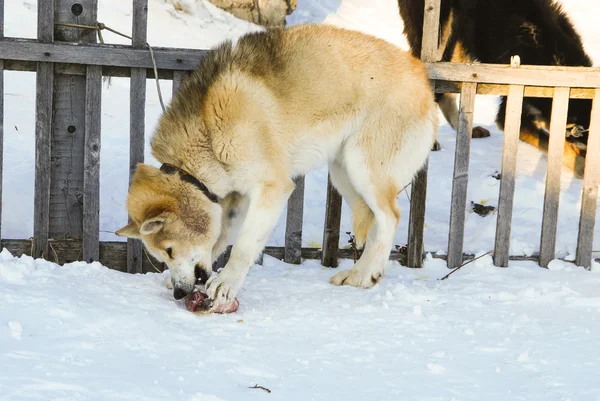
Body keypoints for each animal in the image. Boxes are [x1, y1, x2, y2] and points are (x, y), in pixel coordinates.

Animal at [115, 24, 438, 306]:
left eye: (169, 250)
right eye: (163, 255)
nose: (179, 294)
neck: (208, 131)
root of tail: (422, 77)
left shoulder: (271, 189)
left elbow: (244, 245)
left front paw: (226, 283)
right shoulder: (235, 198)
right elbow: (220, 237)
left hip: (363, 169)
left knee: (390, 217)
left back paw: (366, 275)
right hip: (342, 174)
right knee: (375, 222)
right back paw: (359, 273)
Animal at [398, 0, 592, 177]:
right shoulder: (512, 112)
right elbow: (556, 143)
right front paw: (582, 170)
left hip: (462, 41)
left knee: (448, 92)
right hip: (438, 35)